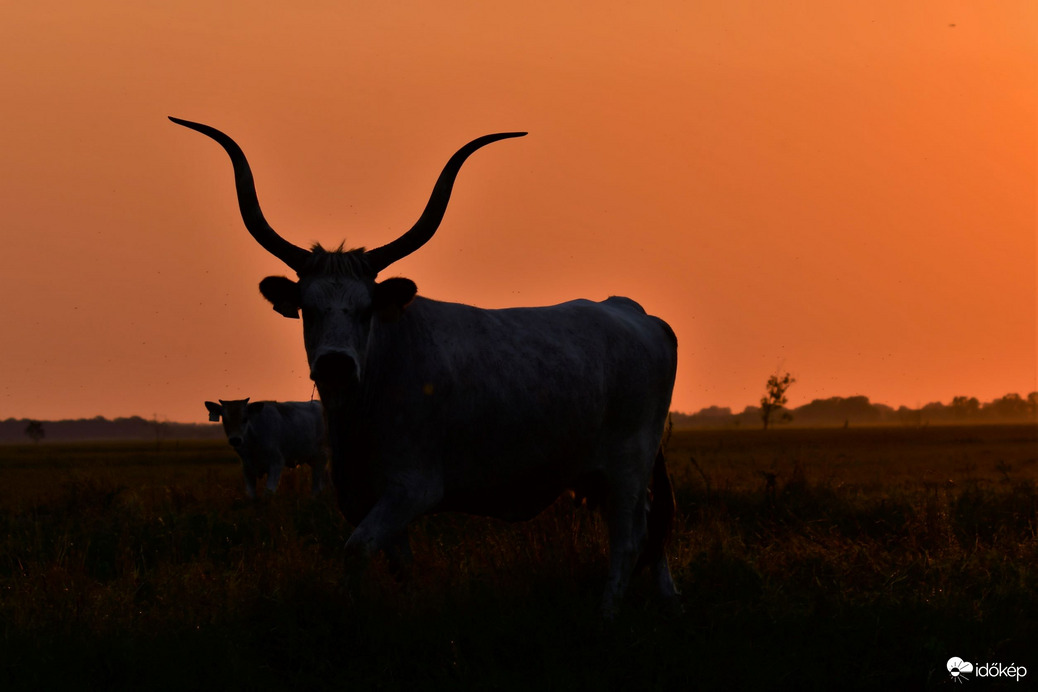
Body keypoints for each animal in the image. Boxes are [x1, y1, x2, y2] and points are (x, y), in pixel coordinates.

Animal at [171, 119, 680, 618]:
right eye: (308, 310)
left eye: (366, 310)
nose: (335, 364)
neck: (365, 402)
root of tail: (634, 312)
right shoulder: (367, 497)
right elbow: (401, 566)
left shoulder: (412, 489)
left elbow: (356, 550)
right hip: (608, 474)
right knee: (650, 528)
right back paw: (668, 601)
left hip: (627, 466)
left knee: (628, 540)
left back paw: (607, 614)